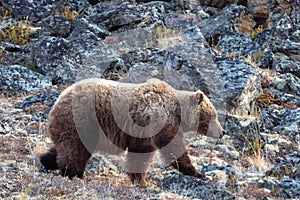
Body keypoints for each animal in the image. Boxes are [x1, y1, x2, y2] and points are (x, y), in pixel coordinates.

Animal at [38, 77, 224, 183]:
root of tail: (58, 100)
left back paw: (45, 161)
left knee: (63, 147)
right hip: (83, 121)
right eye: (214, 115)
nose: (222, 132)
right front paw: (198, 173)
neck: (178, 112)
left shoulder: (143, 134)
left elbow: (140, 155)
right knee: (75, 150)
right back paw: (73, 174)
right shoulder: (160, 119)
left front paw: (139, 179)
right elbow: (173, 148)